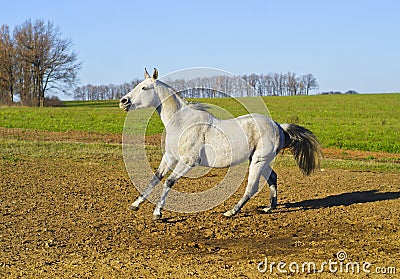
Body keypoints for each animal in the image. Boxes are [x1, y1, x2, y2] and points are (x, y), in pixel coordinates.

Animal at [119, 68, 322, 221]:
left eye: (144, 88)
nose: (123, 101)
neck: (182, 123)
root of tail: (279, 127)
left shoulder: (189, 161)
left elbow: (169, 181)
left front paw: (157, 213)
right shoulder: (170, 157)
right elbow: (155, 178)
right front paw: (135, 205)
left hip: (259, 161)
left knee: (252, 187)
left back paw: (231, 212)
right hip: (260, 161)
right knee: (272, 178)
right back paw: (269, 208)